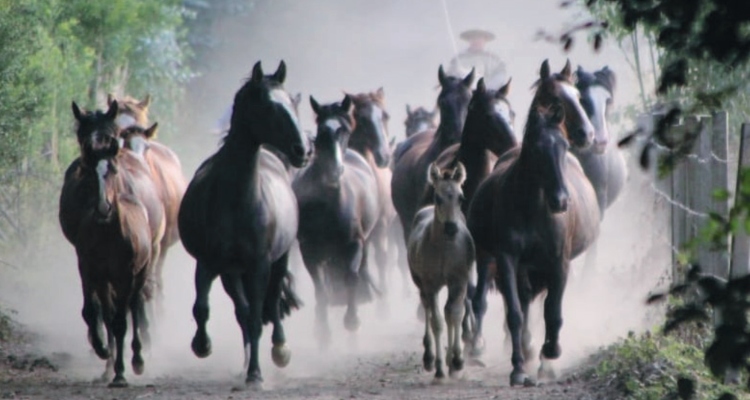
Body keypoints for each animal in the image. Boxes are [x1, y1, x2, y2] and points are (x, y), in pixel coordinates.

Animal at [59, 101, 166, 388]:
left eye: (110, 134)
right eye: (82, 136)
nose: (102, 206)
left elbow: (124, 311)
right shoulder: (85, 262)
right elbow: (94, 311)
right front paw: (103, 351)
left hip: (150, 255)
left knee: (137, 302)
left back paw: (140, 352)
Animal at [178, 60, 312, 384]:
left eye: (293, 103)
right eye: (268, 105)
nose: (302, 150)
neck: (237, 200)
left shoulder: (259, 265)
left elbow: (257, 317)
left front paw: (256, 374)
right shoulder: (210, 262)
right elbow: (202, 308)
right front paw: (202, 345)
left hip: (279, 260)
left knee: (272, 303)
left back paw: (279, 350)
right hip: (232, 272)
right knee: (242, 310)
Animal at [294, 94, 382, 346]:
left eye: (344, 130)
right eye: (322, 130)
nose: (335, 170)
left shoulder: (354, 243)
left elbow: (351, 276)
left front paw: (352, 320)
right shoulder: (309, 250)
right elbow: (320, 288)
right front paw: (322, 331)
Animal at [470, 57, 600, 356]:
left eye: (578, 96)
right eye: (556, 97)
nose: (587, 134)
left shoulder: (558, 261)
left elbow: (550, 308)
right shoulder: (508, 258)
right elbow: (519, 305)